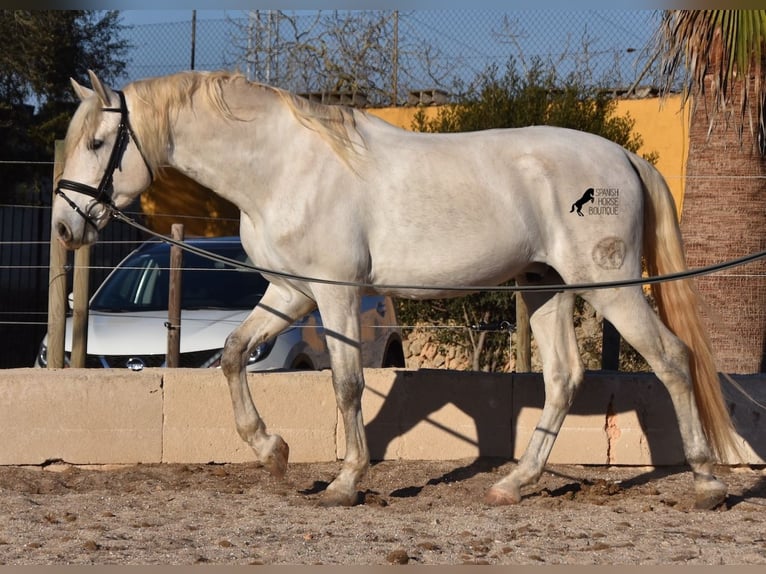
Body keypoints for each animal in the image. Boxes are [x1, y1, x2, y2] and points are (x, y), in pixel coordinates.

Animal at [52, 71, 736, 508]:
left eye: (98, 143)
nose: (64, 225)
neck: (284, 168)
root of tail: (623, 158)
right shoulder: (291, 293)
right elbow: (232, 354)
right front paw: (272, 451)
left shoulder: (333, 295)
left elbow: (347, 384)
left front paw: (344, 483)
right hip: (547, 288)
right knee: (565, 378)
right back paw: (513, 485)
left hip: (610, 287)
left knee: (672, 360)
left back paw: (706, 486)